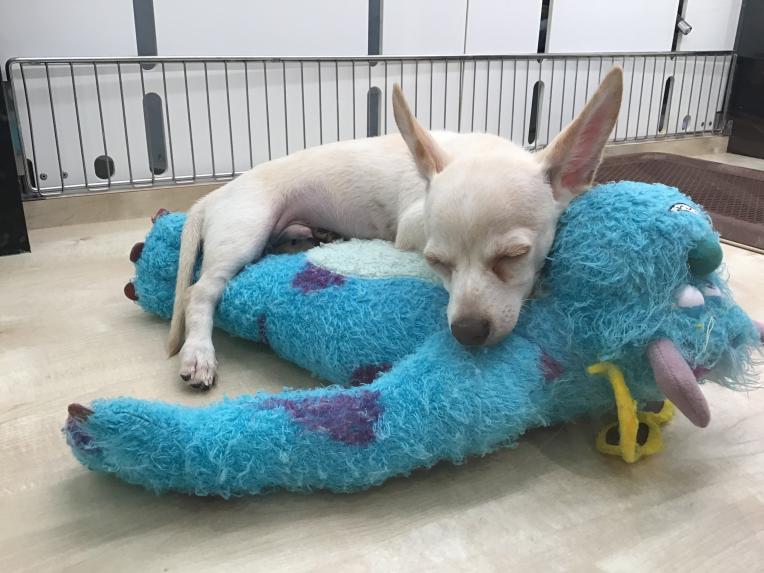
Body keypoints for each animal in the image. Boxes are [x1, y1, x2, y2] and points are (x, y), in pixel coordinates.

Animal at [167, 67, 623, 389]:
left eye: (514, 255)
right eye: (437, 263)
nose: (467, 331)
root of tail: (212, 196)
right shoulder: (410, 226)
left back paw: (313, 237)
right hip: (247, 228)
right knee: (200, 292)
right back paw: (198, 353)